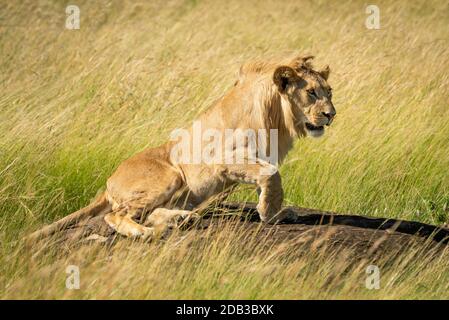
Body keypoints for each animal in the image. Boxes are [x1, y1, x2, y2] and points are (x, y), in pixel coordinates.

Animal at [28, 54, 334, 240]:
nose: (331, 114)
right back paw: (145, 233)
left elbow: (268, 180)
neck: (278, 119)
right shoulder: (223, 159)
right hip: (170, 175)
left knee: (150, 212)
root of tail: (108, 182)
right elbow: (272, 175)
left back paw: (181, 219)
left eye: (329, 92)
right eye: (311, 92)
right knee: (116, 215)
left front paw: (278, 212)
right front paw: (269, 214)